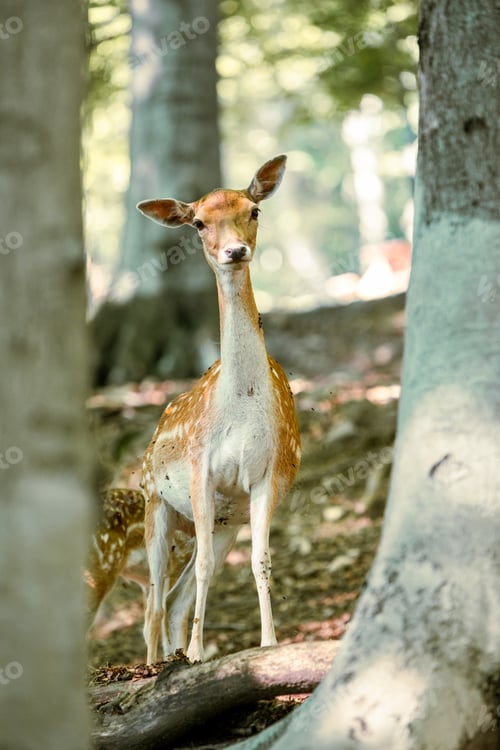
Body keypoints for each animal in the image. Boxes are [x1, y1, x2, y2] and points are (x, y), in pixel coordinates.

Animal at [137, 155, 301, 663]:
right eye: (199, 223)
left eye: (254, 210)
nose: (234, 251)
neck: (242, 408)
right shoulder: (199, 469)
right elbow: (207, 565)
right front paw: (197, 652)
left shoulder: (270, 474)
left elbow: (261, 560)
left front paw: (269, 643)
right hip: (154, 502)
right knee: (153, 603)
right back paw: (157, 664)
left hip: (227, 520)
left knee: (173, 600)